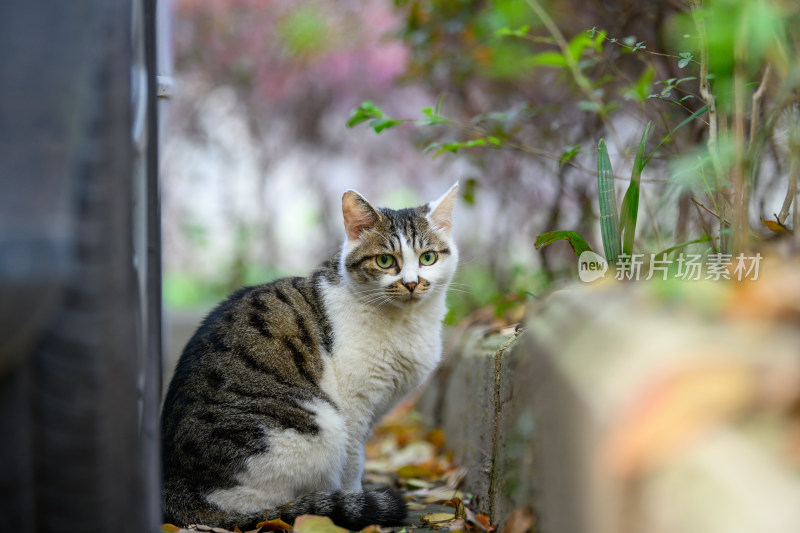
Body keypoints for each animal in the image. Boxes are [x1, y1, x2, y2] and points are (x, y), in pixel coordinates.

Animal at [160, 183, 460, 528]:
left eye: (428, 258)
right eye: (385, 260)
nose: (411, 283)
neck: (406, 323)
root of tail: (174, 487)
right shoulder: (354, 411)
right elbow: (353, 465)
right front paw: (356, 499)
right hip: (319, 426)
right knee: (267, 510)